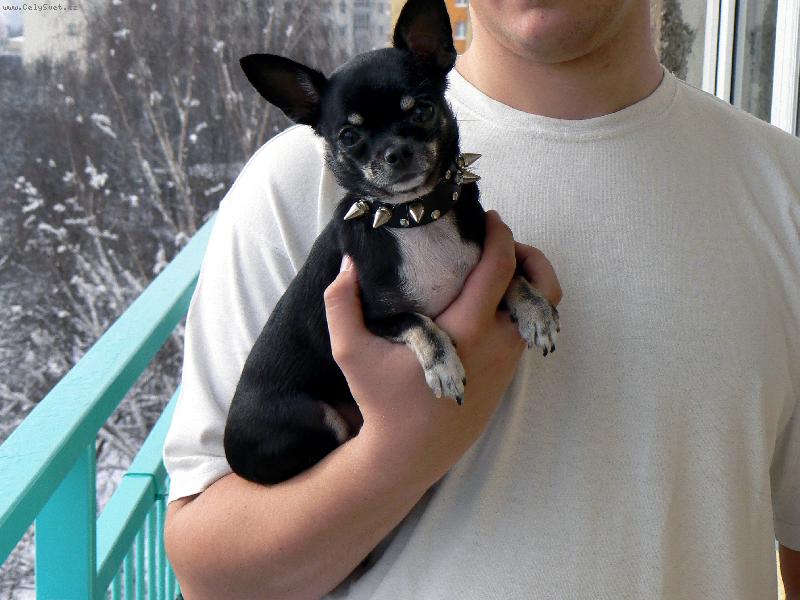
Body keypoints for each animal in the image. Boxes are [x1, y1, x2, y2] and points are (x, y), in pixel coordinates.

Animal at [223, 0, 560, 486]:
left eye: (421, 111)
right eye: (348, 136)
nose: (395, 152)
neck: (414, 218)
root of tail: (234, 458)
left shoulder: (483, 263)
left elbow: (512, 274)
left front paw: (535, 310)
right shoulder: (377, 319)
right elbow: (420, 323)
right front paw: (444, 367)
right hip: (318, 418)